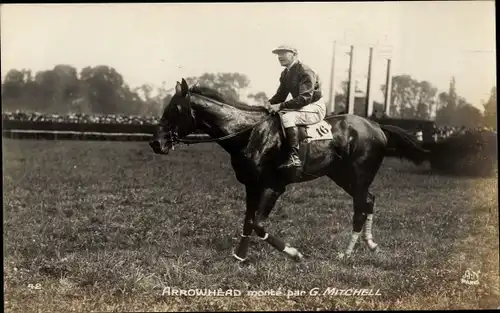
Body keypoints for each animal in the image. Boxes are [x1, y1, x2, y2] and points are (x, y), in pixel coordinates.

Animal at [149, 78, 430, 260]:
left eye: (175, 109)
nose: (156, 142)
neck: (251, 134)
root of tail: (377, 127)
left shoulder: (272, 187)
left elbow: (259, 224)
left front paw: (294, 253)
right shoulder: (251, 186)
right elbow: (248, 221)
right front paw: (239, 256)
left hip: (358, 177)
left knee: (361, 207)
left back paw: (347, 253)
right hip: (343, 177)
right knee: (369, 202)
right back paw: (370, 245)